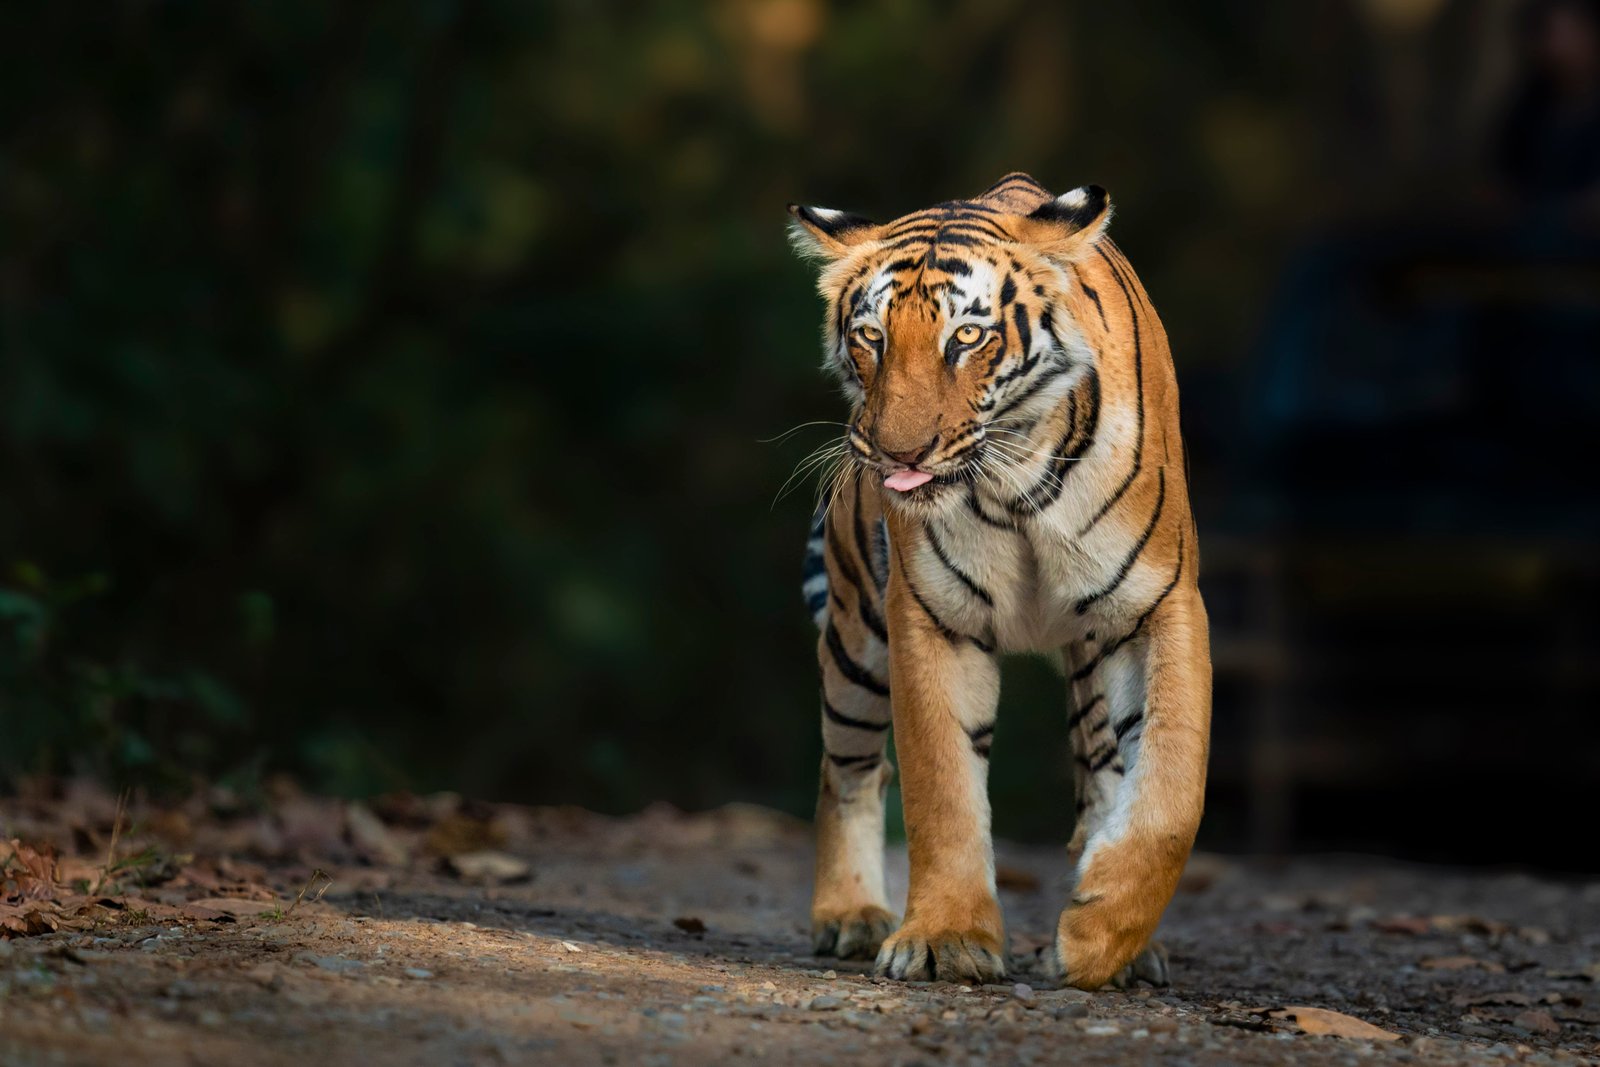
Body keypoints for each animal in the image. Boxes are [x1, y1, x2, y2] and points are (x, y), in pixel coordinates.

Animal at [789, 173, 1211, 990]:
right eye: (871, 336)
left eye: (967, 338)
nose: (896, 452)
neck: (1016, 482)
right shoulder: (931, 616)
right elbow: (941, 789)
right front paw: (945, 939)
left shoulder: (1157, 603)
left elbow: (1172, 789)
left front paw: (1098, 935)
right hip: (857, 639)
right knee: (848, 771)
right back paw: (849, 916)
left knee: (1106, 772)